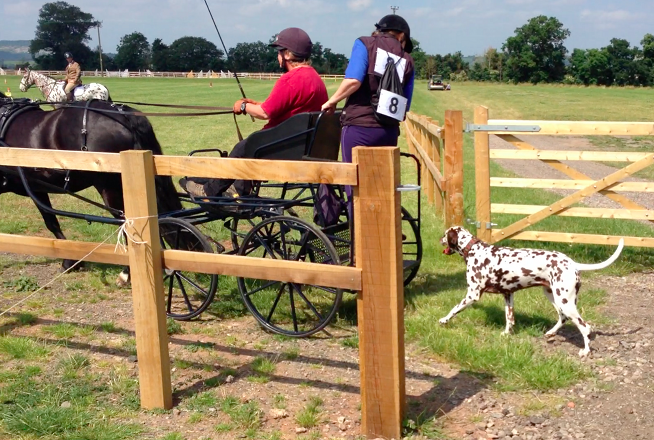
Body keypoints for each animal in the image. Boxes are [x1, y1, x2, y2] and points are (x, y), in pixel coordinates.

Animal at [0, 96, 187, 282]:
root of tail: (123, 115)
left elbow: (50, 223)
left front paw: (69, 261)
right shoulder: (38, 189)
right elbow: (52, 221)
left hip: (110, 189)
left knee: (126, 223)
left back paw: (127, 272)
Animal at [440, 227, 624, 358]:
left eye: (445, 234)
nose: (439, 239)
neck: (475, 250)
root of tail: (572, 263)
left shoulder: (472, 295)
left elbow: (454, 309)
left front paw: (444, 320)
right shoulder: (508, 295)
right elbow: (509, 319)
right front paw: (506, 334)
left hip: (565, 301)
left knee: (585, 327)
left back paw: (585, 351)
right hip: (554, 297)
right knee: (563, 318)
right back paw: (551, 333)